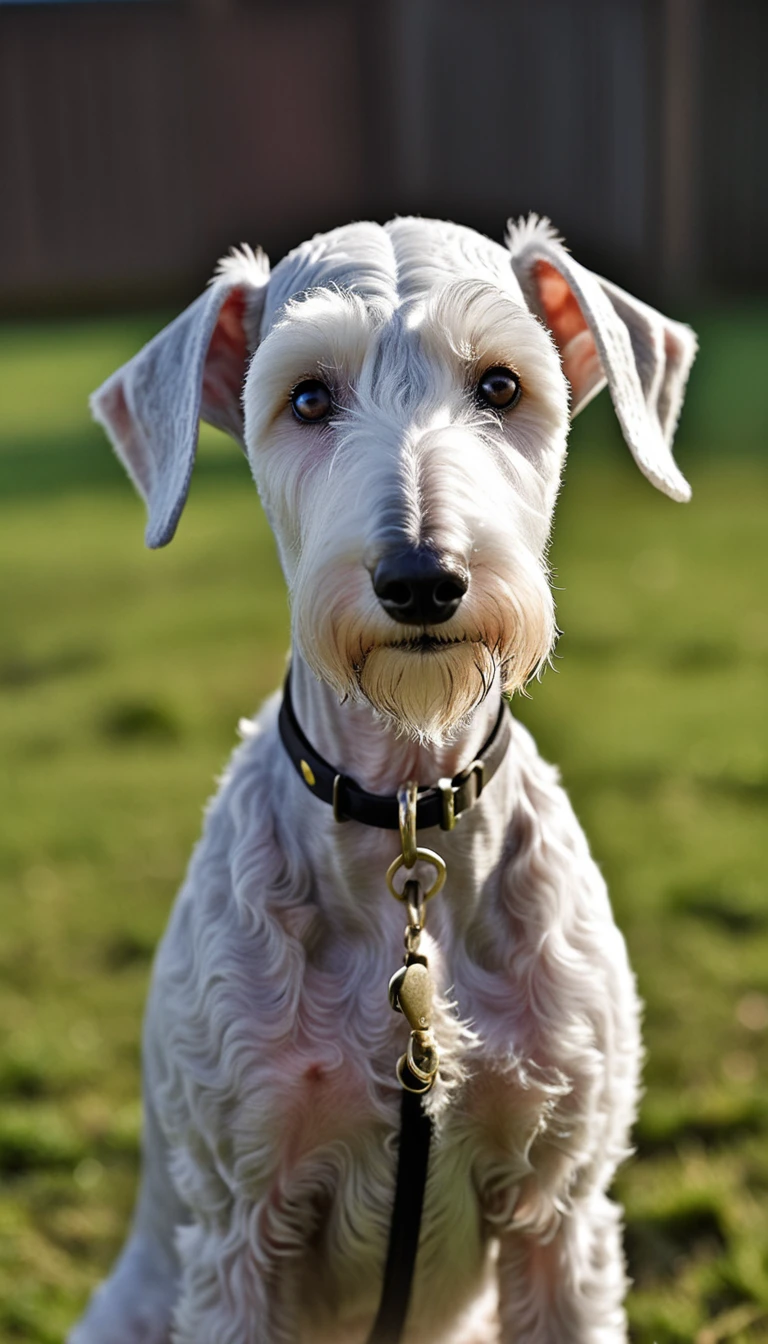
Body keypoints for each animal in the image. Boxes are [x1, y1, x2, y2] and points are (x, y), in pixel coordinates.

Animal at [70, 215, 699, 1338]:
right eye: (308, 397)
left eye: (500, 384)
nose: (420, 578)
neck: (404, 808)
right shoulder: (239, 1232)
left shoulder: (560, 1213)